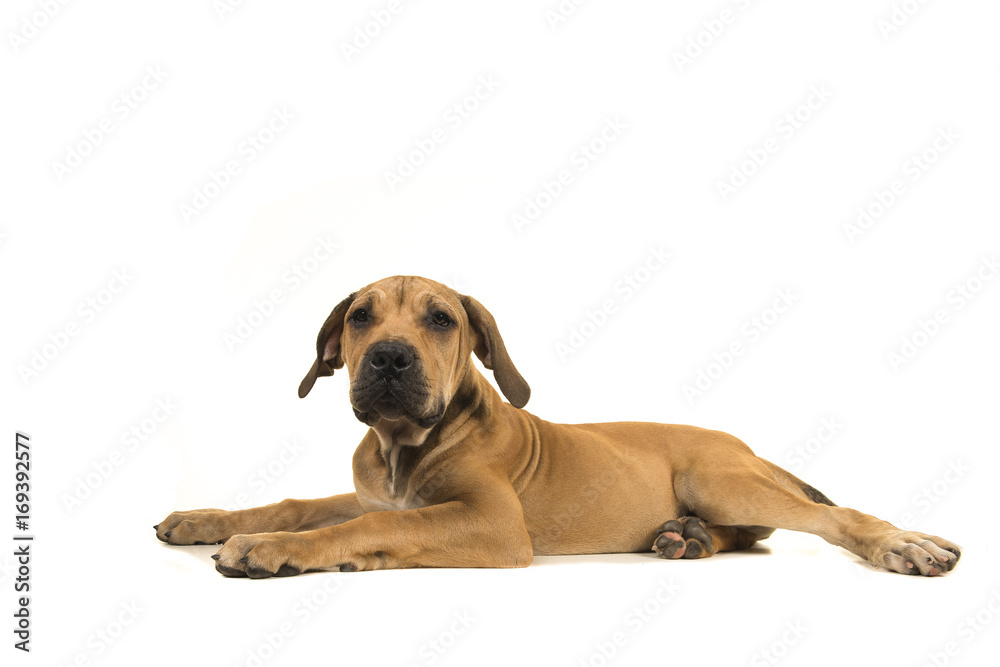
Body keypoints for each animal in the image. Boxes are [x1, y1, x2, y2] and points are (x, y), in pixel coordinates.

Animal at [154, 274, 960, 576]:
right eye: (359, 318)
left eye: (441, 320)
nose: (387, 358)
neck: (404, 448)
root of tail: (744, 444)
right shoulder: (370, 492)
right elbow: (298, 501)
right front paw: (208, 518)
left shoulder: (491, 523)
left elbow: (371, 526)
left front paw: (278, 548)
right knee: (750, 534)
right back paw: (686, 538)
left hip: (718, 478)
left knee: (829, 518)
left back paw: (902, 543)